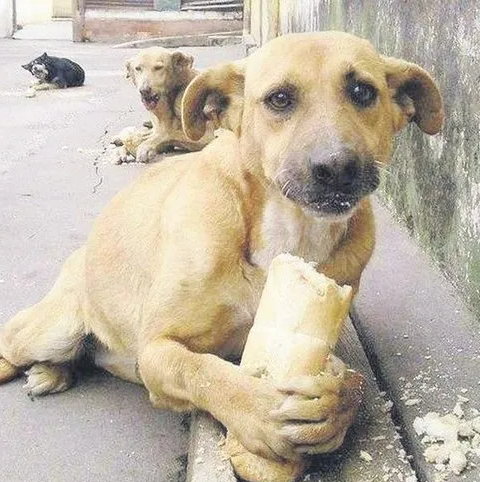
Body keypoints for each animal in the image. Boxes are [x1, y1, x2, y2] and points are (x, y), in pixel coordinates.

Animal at [0, 32, 442, 462]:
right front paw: (258, 410)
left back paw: (53, 372)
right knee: (13, 339)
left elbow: (356, 381)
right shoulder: (156, 349)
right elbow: (202, 372)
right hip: (52, 328)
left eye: (363, 91)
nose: (337, 168)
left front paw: (335, 407)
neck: (288, 230)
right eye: (279, 98)